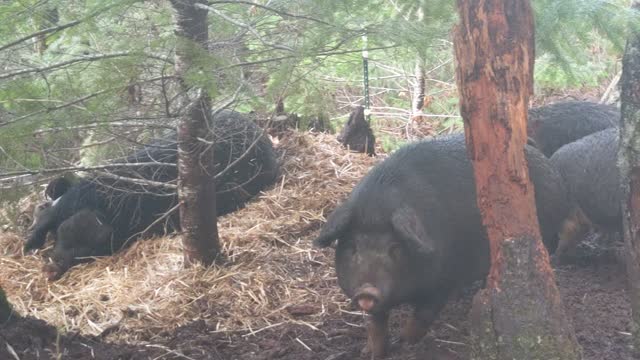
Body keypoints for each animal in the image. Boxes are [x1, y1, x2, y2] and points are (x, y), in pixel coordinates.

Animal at [314, 134, 568, 358]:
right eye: (352, 247)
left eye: (395, 247)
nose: (367, 290)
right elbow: (376, 325)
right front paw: (371, 353)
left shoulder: (444, 278)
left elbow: (423, 316)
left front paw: (405, 343)